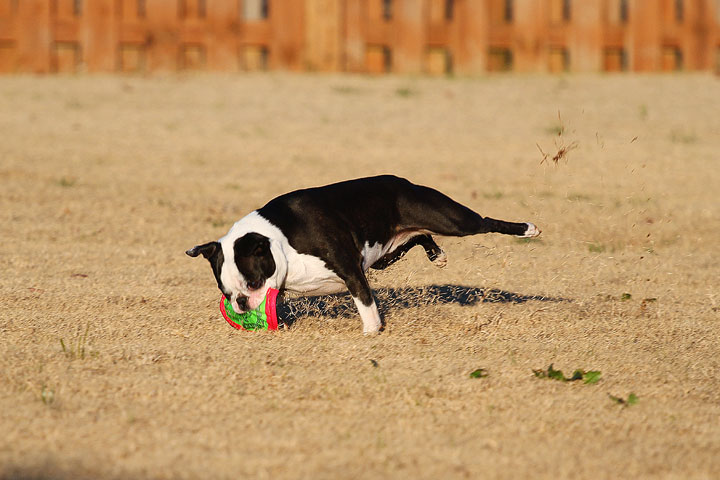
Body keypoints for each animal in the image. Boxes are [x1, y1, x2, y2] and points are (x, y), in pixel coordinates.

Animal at [187, 176, 540, 334]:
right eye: (227, 293)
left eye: (253, 283)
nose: (241, 304)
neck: (279, 240)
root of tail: (403, 182)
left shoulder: (350, 269)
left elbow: (365, 302)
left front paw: (371, 332)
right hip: (386, 252)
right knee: (419, 235)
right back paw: (437, 255)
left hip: (453, 221)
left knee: (484, 222)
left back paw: (528, 229)